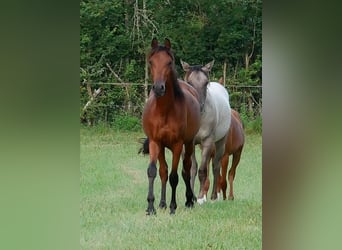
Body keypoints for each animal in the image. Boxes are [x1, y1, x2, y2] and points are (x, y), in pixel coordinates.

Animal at [143, 39, 202, 215]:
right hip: (162, 147)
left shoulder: (177, 145)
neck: (164, 111)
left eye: (169, 62)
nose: (158, 88)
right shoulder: (155, 142)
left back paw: (189, 200)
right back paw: (162, 203)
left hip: (188, 144)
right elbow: (153, 171)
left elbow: (174, 176)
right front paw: (151, 207)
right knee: (163, 171)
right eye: (151, 62)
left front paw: (173, 207)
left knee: (186, 169)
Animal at [180, 59, 231, 204]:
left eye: (206, 83)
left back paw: (213, 196)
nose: (199, 106)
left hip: (220, 142)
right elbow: (191, 168)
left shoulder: (207, 141)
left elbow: (203, 170)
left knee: (215, 166)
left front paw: (200, 198)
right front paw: (190, 197)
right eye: (189, 83)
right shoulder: (188, 142)